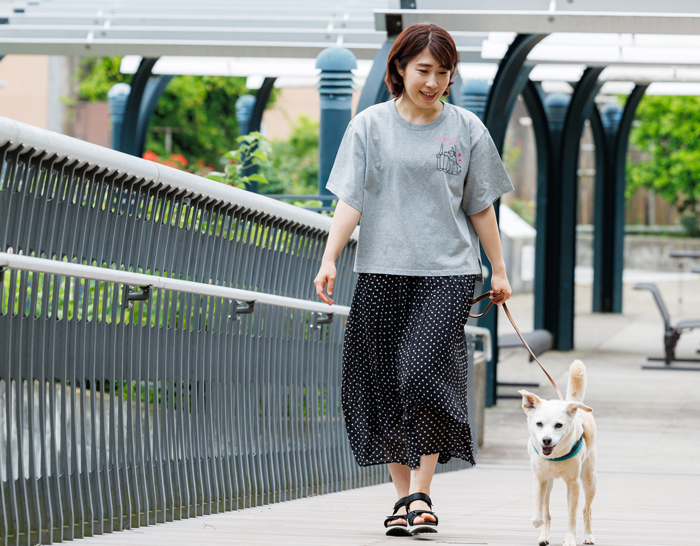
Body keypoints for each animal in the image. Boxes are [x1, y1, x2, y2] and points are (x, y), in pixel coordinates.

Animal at [520, 360, 596, 540]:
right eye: (539, 424)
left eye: (558, 425)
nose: (546, 440)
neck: (554, 457)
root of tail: (568, 402)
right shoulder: (539, 479)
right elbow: (539, 510)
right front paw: (538, 522)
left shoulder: (573, 484)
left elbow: (572, 516)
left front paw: (570, 540)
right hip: (549, 483)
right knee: (547, 509)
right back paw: (544, 536)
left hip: (590, 480)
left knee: (586, 509)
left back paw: (588, 535)